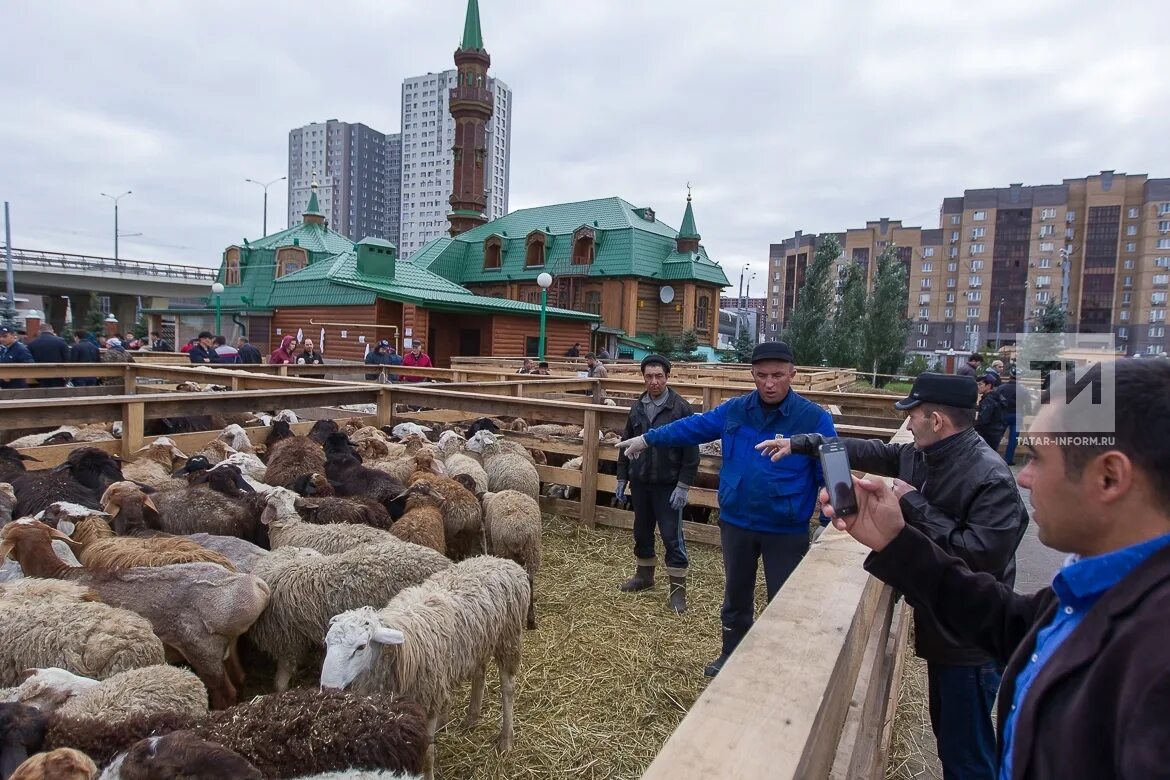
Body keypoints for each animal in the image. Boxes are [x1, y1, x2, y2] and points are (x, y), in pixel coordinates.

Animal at [315, 558, 526, 776]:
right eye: (327, 643)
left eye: (361, 647)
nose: (328, 688)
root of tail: (499, 560)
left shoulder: (429, 698)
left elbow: (427, 756)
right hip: (478, 644)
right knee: (479, 674)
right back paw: (471, 719)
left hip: (508, 638)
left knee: (508, 688)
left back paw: (506, 739)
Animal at [479, 491, 542, 631]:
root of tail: (520, 532)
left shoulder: (491, 541)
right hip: (532, 551)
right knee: (530, 580)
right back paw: (531, 620)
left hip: (504, 550)